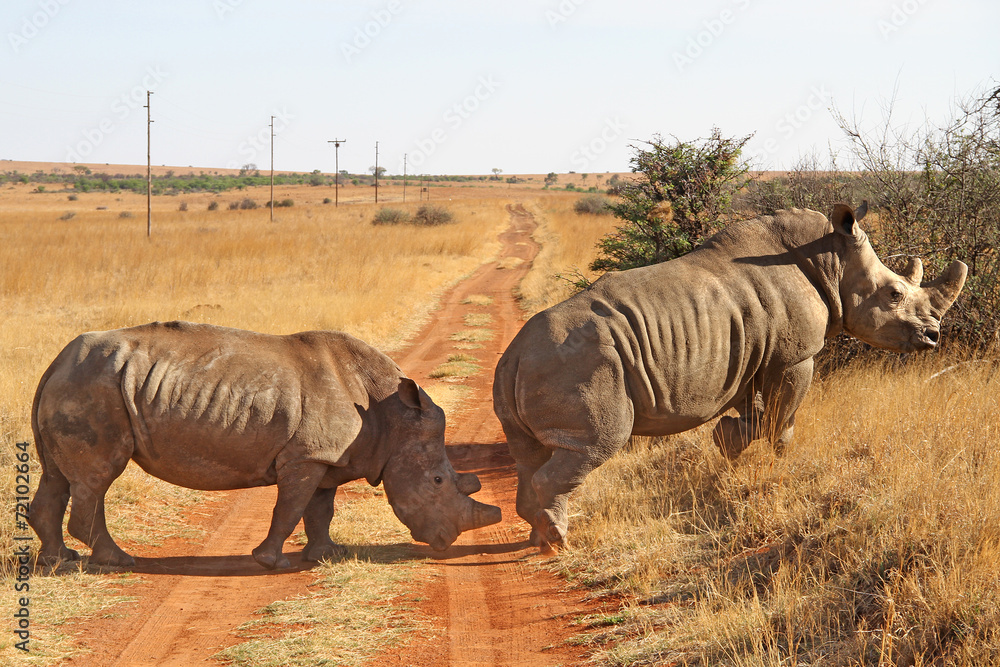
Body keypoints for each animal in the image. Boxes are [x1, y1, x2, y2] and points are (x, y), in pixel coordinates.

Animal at [29, 321, 501, 569]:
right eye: (438, 481)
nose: (444, 543)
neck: (393, 416)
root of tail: (55, 361)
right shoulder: (305, 457)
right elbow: (289, 508)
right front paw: (270, 562)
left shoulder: (325, 458)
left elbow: (320, 510)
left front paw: (326, 554)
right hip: (94, 386)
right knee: (98, 477)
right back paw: (119, 560)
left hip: (80, 382)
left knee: (58, 476)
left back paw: (60, 560)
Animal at [494, 203, 967, 550]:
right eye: (894, 294)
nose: (933, 336)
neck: (831, 260)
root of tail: (513, 354)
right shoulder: (795, 356)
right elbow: (781, 420)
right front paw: (776, 463)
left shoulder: (748, 356)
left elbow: (756, 412)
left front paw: (727, 442)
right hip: (579, 363)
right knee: (595, 443)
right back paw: (558, 541)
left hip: (532, 368)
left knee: (528, 453)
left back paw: (539, 537)